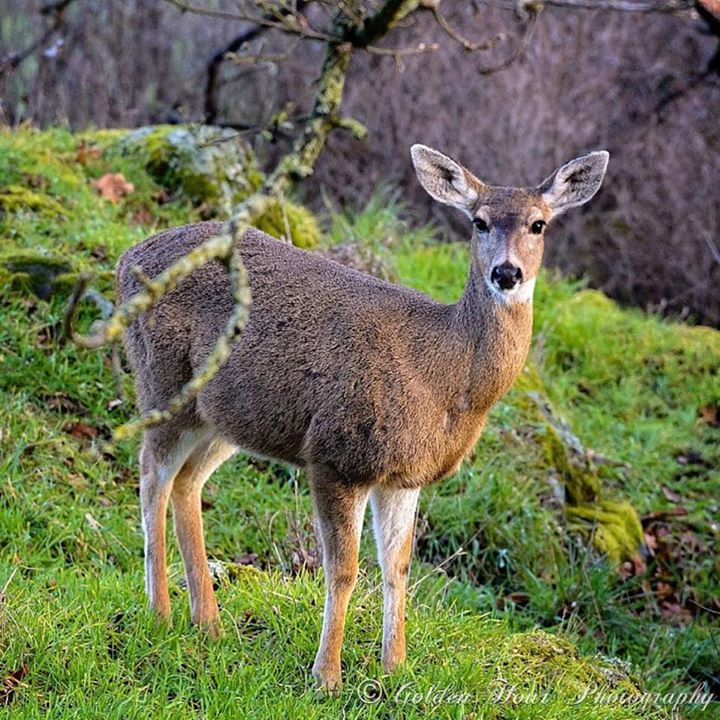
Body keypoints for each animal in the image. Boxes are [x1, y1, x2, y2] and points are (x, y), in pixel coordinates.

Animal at [116, 144, 608, 691]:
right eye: (479, 222)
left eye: (539, 224)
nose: (506, 273)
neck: (446, 378)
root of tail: (126, 257)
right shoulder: (338, 453)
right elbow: (344, 570)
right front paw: (326, 676)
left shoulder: (406, 475)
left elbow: (398, 567)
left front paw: (396, 666)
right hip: (163, 379)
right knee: (151, 474)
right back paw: (160, 611)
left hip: (227, 418)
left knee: (187, 482)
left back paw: (209, 623)